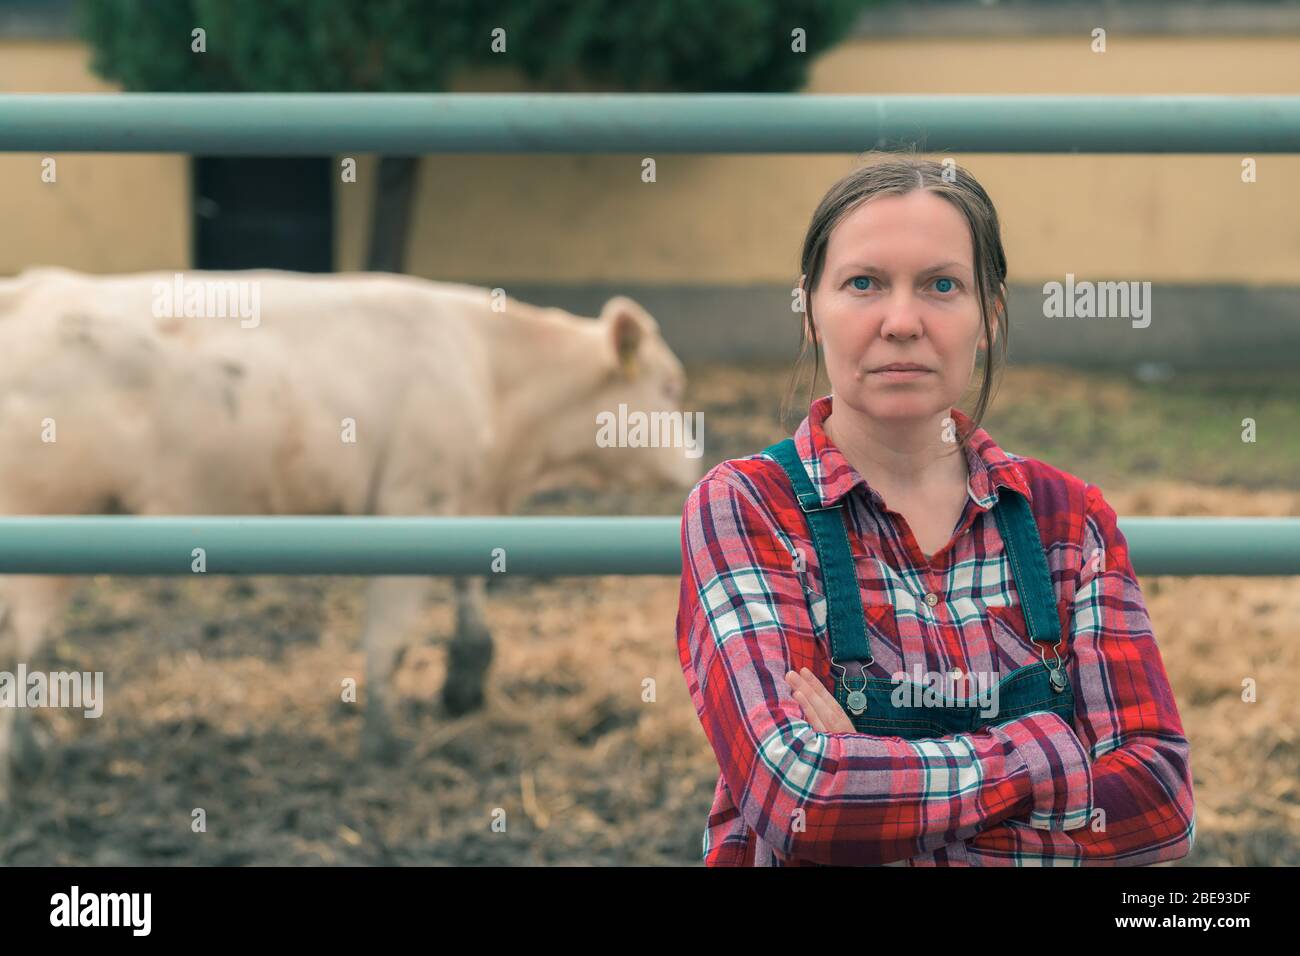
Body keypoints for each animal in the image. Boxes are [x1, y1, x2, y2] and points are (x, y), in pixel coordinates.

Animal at [0, 267, 707, 806]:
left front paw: (465, 678)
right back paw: (29, 757)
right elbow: (388, 640)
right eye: (669, 385)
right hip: (45, 521)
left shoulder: (458, 504)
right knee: (17, 641)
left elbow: (469, 588)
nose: (693, 465)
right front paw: (384, 743)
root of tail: (33, 288)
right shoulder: (410, 505)